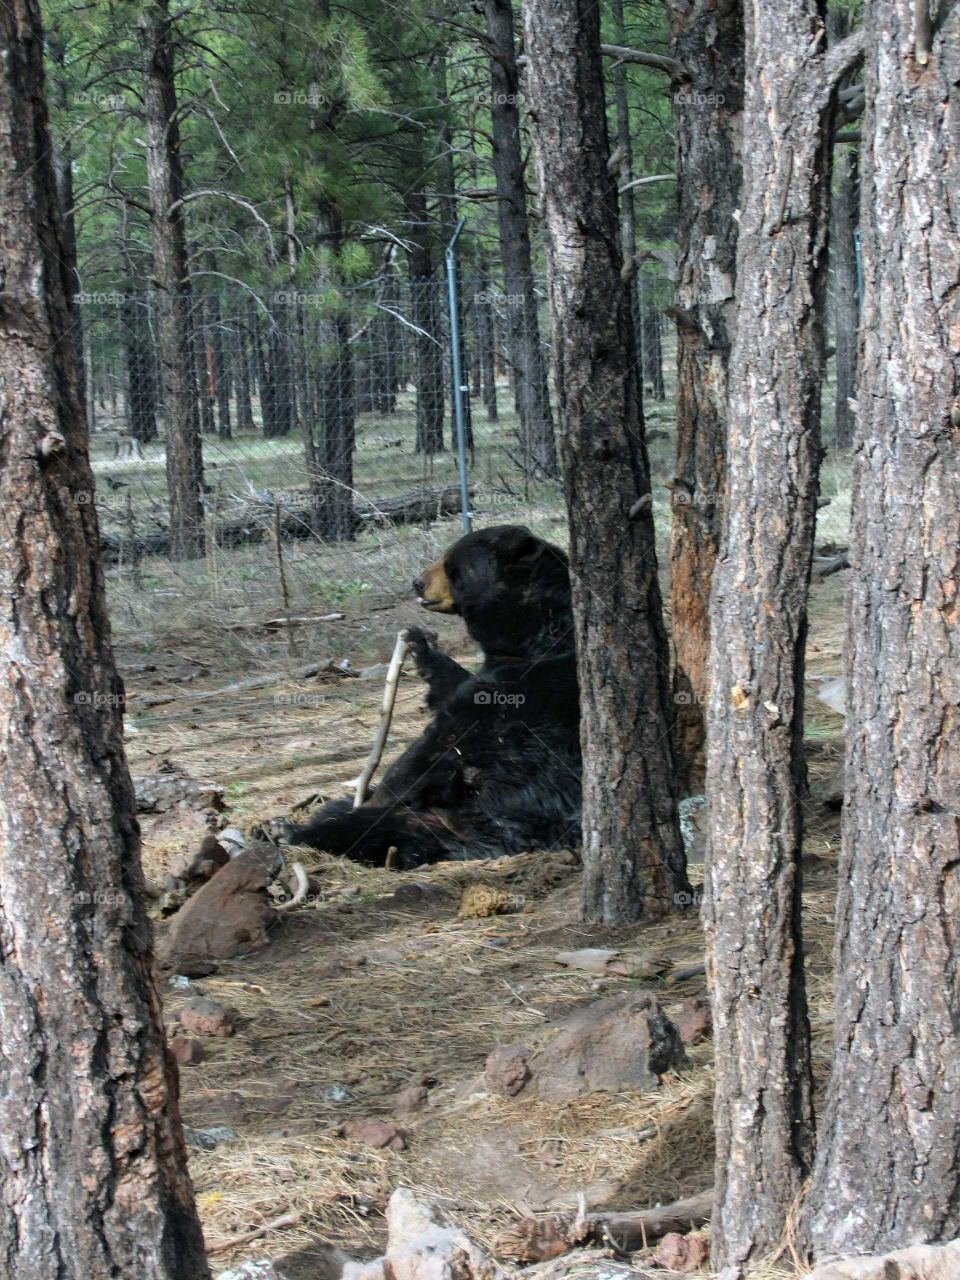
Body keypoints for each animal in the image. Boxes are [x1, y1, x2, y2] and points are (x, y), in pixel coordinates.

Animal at [264, 525, 581, 869]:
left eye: (451, 564)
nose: (417, 582)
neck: (534, 633)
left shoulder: (521, 691)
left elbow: (437, 746)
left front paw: (380, 792)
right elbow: (453, 685)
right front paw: (420, 645)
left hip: (457, 821)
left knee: (369, 827)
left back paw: (292, 829)